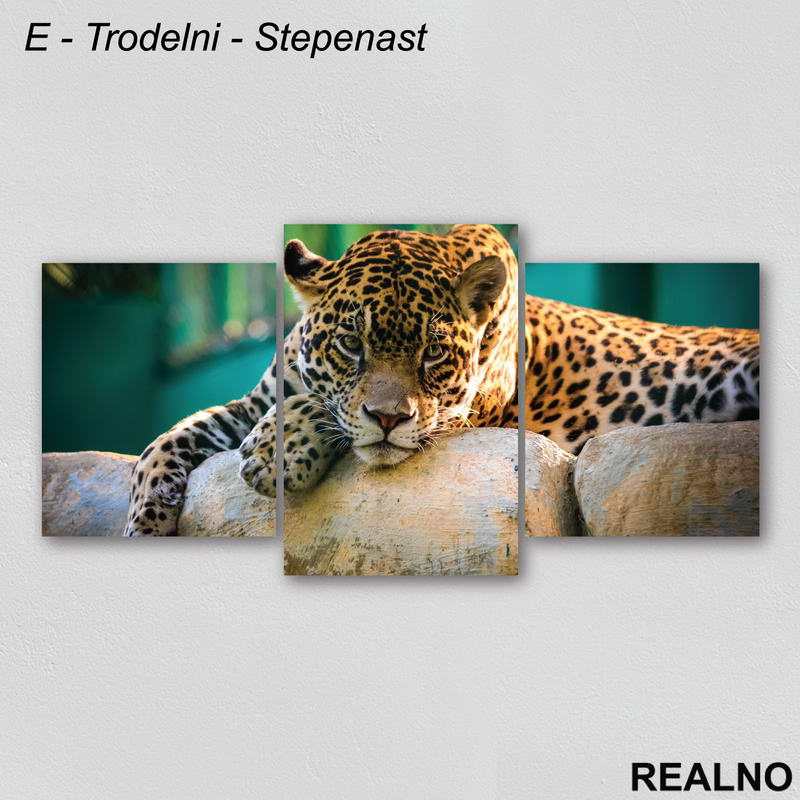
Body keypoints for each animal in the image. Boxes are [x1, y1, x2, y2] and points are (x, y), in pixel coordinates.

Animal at [123, 224, 519, 535]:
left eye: (434, 351)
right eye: (351, 344)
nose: (389, 418)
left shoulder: (468, 410)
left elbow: (322, 405)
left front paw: (276, 453)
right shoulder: (249, 407)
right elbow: (164, 442)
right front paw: (145, 522)